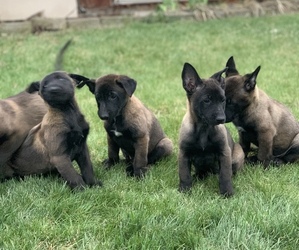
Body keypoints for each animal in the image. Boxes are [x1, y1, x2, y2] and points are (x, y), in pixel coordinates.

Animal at [179, 63, 245, 197]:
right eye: (207, 100)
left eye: (222, 100)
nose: (221, 119)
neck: (203, 129)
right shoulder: (184, 154)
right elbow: (185, 175)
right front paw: (185, 191)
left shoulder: (224, 153)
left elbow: (225, 176)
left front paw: (227, 193)